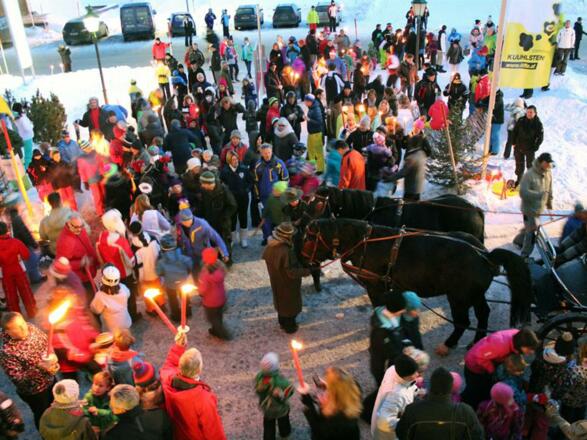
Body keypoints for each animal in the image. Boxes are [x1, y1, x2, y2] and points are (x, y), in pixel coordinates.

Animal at [300, 218, 532, 354]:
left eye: (310, 236)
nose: (303, 258)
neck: (366, 243)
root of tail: (485, 254)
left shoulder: (375, 288)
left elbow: (378, 308)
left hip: (458, 297)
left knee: (463, 321)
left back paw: (449, 344)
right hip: (475, 295)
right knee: (483, 313)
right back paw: (476, 342)